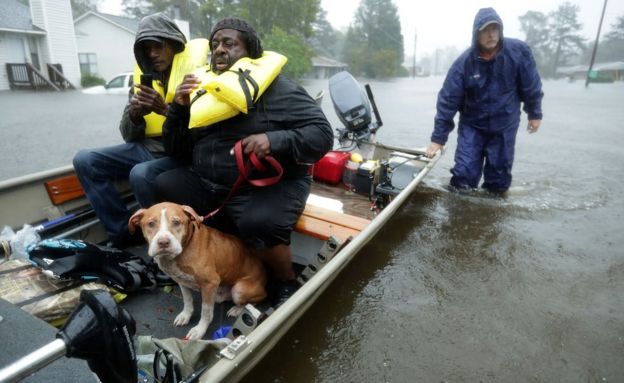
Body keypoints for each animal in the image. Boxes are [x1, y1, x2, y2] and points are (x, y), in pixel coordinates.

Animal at [128, 202, 266, 340]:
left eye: (176, 222)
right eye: (151, 224)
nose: (163, 243)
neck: (184, 249)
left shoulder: (210, 283)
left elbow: (206, 312)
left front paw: (199, 330)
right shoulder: (181, 281)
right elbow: (187, 301)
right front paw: (185, 316)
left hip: (239, 290)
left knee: (257, 300)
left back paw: (238, 309)